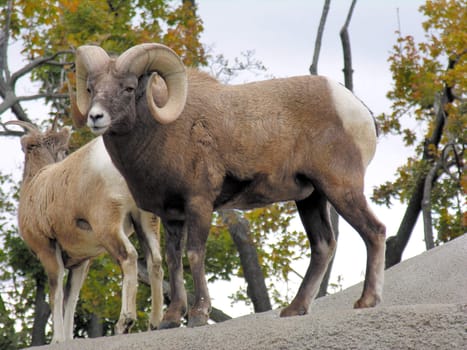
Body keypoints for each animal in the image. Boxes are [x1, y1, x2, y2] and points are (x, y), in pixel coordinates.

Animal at [6, 120, 165, 342]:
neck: (35, 183)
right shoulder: (81, 261)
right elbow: (71, 299)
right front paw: (68, 338)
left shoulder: (48, 250)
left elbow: (56, 294)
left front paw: (57, 340)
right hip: (146, 221)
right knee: (155, 262)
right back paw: (155, 324)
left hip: (108, 225)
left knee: (129, 257)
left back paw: (124, 323)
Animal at [74, 43, 388, 328]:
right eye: (91, 88)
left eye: (128, 88)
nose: (96, 117)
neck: (164, 133)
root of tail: (357, 108)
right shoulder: (172, 217)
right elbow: (174, 260)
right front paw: (171, 319)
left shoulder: (199, 204)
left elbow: (194, 254)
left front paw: (198, 315)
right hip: (310, 198)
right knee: (323, 246)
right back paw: (295, 309)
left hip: (341, 189)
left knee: (374, 231)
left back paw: (366, 301)